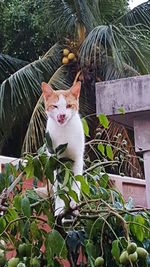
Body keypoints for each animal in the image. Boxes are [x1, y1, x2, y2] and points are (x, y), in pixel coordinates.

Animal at [41, 81, 84, 216]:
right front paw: (59, 209)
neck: (64, 130)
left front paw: (74, 203)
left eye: (69, 105)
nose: (62, 115)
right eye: (55, 106)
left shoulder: (78, 159)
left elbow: (76, 182)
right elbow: (59, 187)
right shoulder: (55, 160)